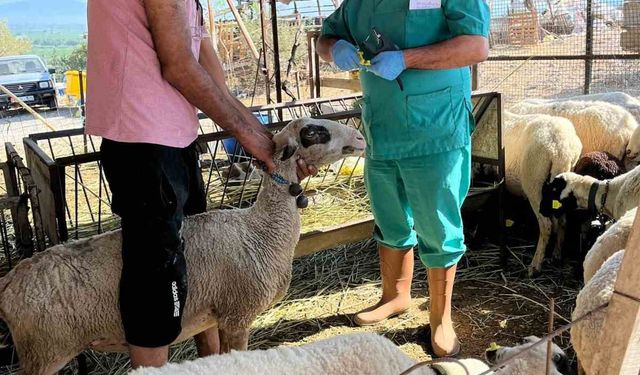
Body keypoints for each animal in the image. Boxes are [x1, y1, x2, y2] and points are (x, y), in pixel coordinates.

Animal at [0, 118, 364, 375]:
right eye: (312, 132)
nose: (360, 139)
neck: (260, 230)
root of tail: (10, 281)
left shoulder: (215, 315)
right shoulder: (237, 315)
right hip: (45, 352)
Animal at [502, 112, 584, 276]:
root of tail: (560, 149)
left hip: (533, 181)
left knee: (546, 225)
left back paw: (535, 265)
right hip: (564, 179)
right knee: (562, 221)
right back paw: (556, 255)